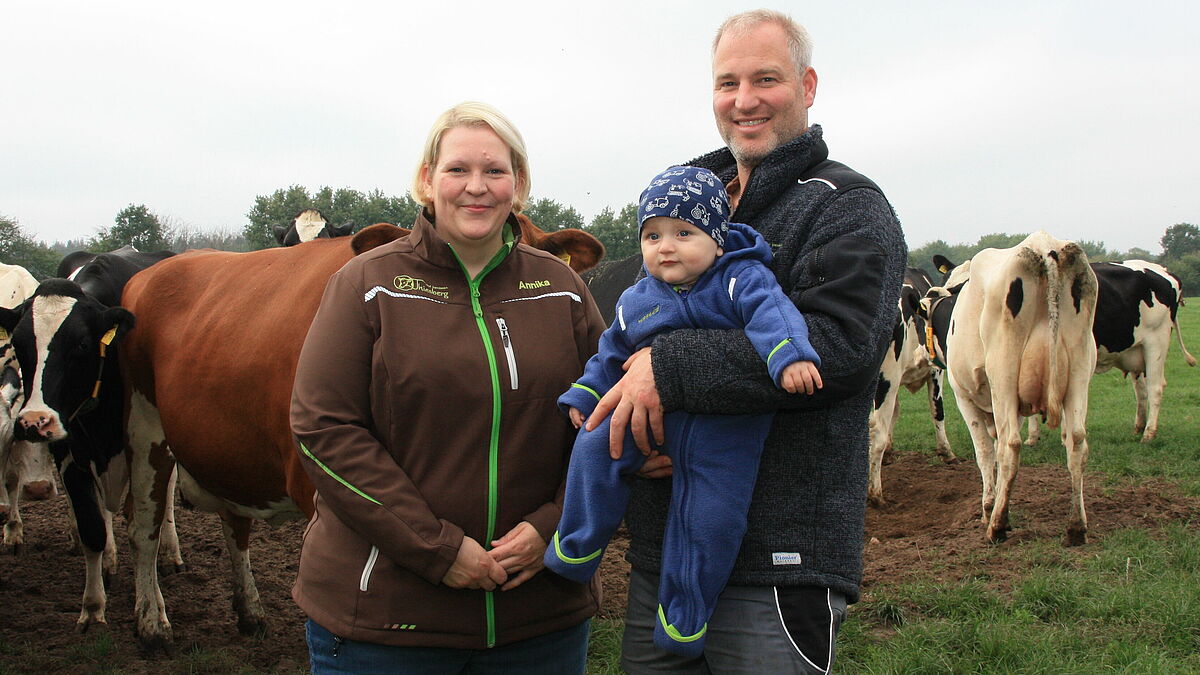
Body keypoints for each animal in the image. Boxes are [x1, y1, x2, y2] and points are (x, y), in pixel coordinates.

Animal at [0, 247, 182, 629]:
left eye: (81, 344)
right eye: (20, 345)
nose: (34, 420)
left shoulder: (147, 445)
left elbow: (146, 527)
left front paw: (152, 612)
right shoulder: (71, 451)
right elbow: (92, 527)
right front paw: (94, 607)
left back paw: (171, 553)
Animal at [868, 265, 960, 502]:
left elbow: (895, 412)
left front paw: (890, 453)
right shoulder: (935, 369)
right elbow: (938, 410)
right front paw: (947, 452)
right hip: (887, 376)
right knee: (877, 431)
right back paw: (875, 494)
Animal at [921, 230, 1099, 540]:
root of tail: (1044, 246)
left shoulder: (964, 396)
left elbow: (985, 452)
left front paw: (987, 507)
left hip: (1003, 375)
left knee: (1010, 446)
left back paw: (997, 525)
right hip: (1078, 375)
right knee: (1077, 442)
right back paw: (1076, 526)